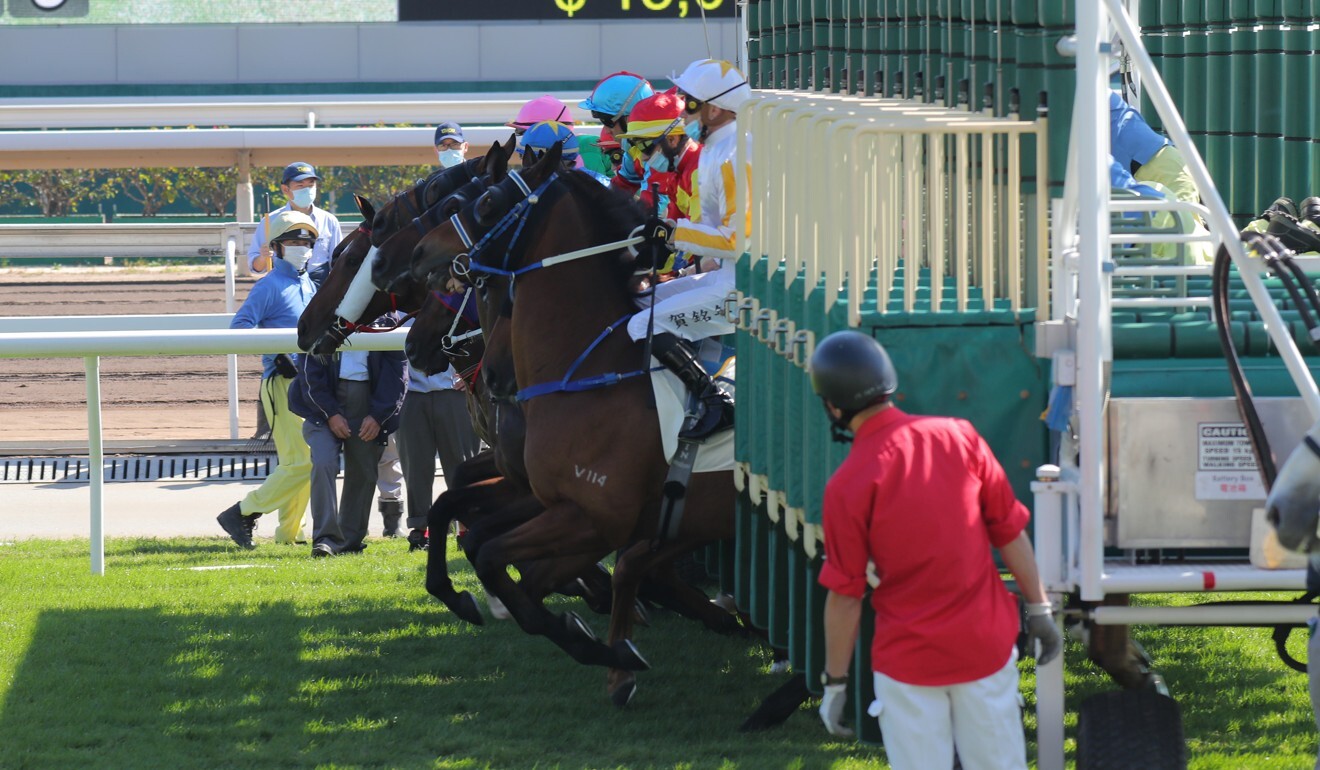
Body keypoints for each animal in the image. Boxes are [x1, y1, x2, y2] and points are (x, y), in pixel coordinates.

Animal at [411, 144, 744, 702]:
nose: (420, 253)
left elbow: (492, 553)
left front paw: (603, 642)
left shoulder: (592, 515)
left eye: (486, 202)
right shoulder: (556, 502)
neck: (583, 371)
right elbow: (466, 524)